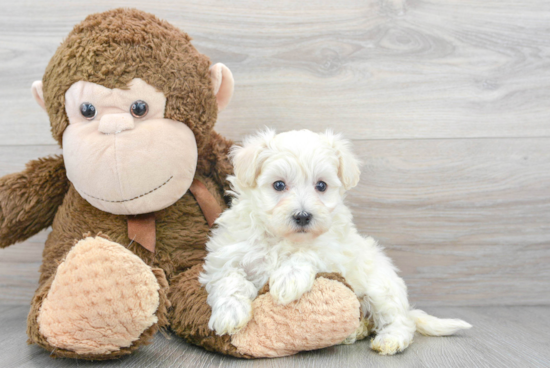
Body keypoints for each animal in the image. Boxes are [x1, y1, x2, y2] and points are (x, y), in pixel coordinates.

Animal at [201, 129, 472, 354]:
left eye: (321, 186)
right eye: (278, 185)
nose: (303, 216)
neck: (283, 238)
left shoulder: (335, 251)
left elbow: (309, 253)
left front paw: (288, 280)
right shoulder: (226, 253)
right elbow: (228, 277)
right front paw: (229, 313)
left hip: (381, 287)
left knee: (399, 320)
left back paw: (389, 339)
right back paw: (355, 331)